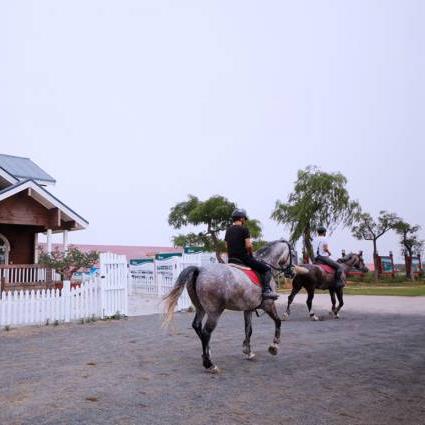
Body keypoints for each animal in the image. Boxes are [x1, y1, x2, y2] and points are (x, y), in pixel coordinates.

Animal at [162, 239, 306, 373]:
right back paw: (210, 364)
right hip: (214, 312)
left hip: (201, 309)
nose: (292, 273)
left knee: (197, 326)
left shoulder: (248, 309)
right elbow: (278, 321)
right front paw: (274, 346)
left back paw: (207, 353)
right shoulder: (268, 305)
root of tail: (200, 269)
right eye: (293, 254)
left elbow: (248, 330)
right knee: (206, 332)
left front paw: (248, 351)